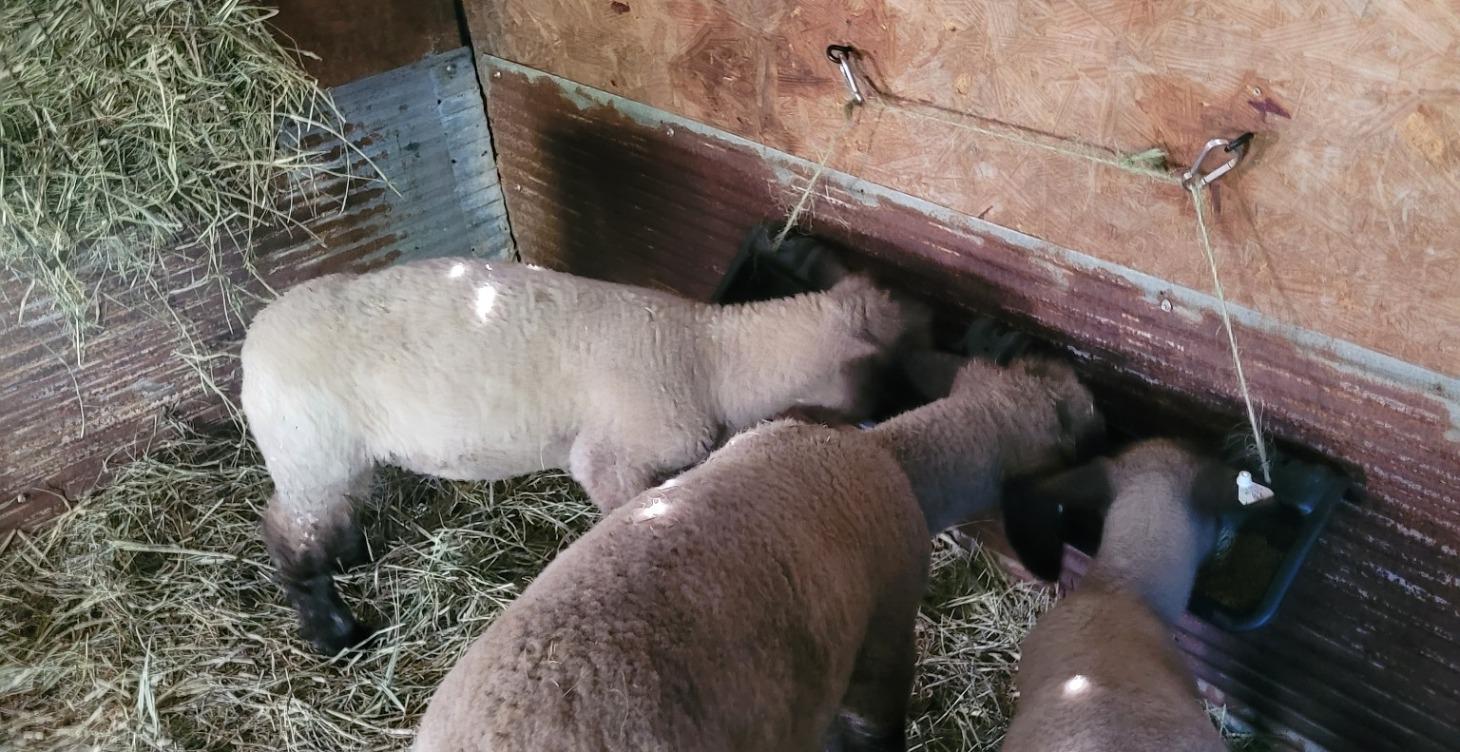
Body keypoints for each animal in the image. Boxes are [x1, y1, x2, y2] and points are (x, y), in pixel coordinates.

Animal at [239, 257, 928, 655]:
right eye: (897, 367)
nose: (922, 407)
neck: (711, 357)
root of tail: (256, 336)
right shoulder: (610, 458)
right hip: (311, 450)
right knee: (288, 534)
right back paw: (334, 633)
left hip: (333, 459)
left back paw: (353, 556)